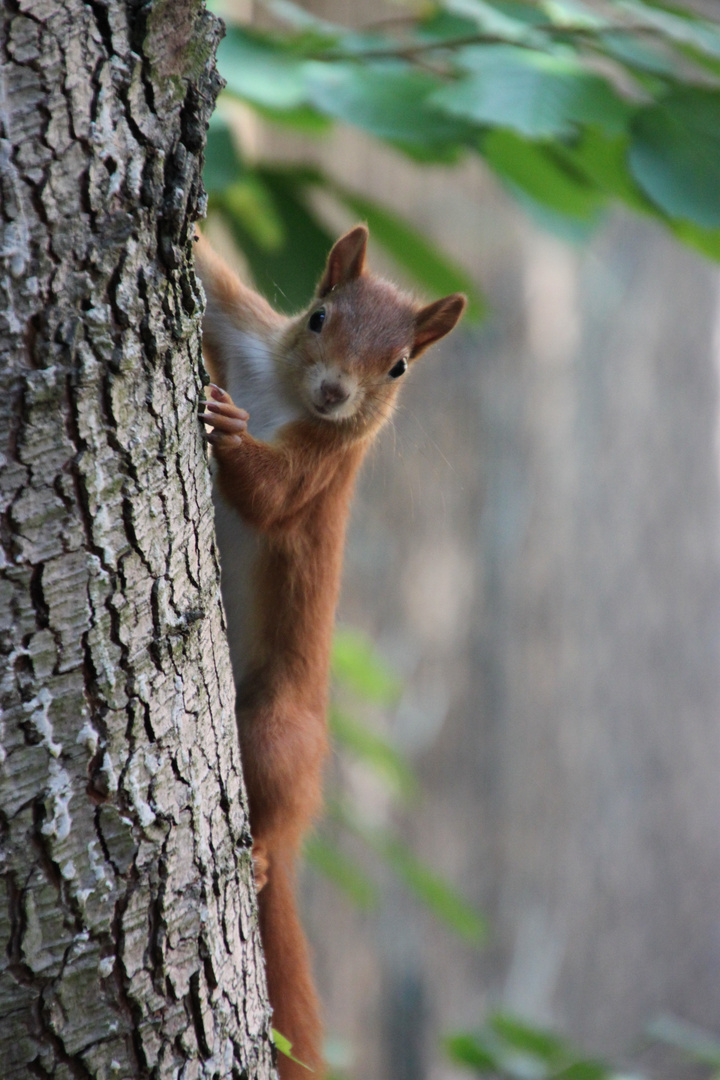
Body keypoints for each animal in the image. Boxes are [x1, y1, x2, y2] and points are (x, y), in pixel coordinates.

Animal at [194, 223, 468, 1075]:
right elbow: (211, 284)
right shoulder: (243, 332)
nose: (335, 395)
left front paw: (229, 432)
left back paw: (259, 855)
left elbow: (273, 495)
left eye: (400, 365)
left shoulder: (323, 468)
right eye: (318, 317)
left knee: (276, 817)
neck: (285, 398)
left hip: (276, 732)